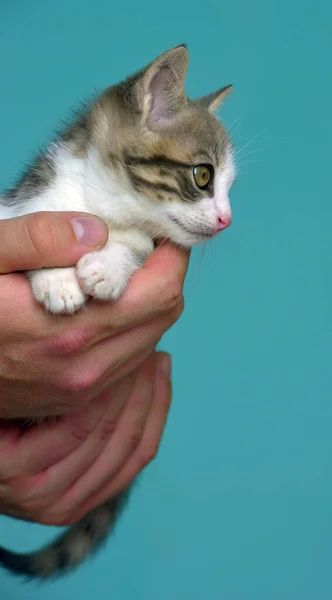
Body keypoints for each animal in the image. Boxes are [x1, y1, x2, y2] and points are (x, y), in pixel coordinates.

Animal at [0, 44, 236, 580]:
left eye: (230, 187)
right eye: (203, 176)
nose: (226, 218)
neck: (104, 208)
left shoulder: (144, 241)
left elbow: (134, 247)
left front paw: (108, 266)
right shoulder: (21, 208)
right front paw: (57, 281)